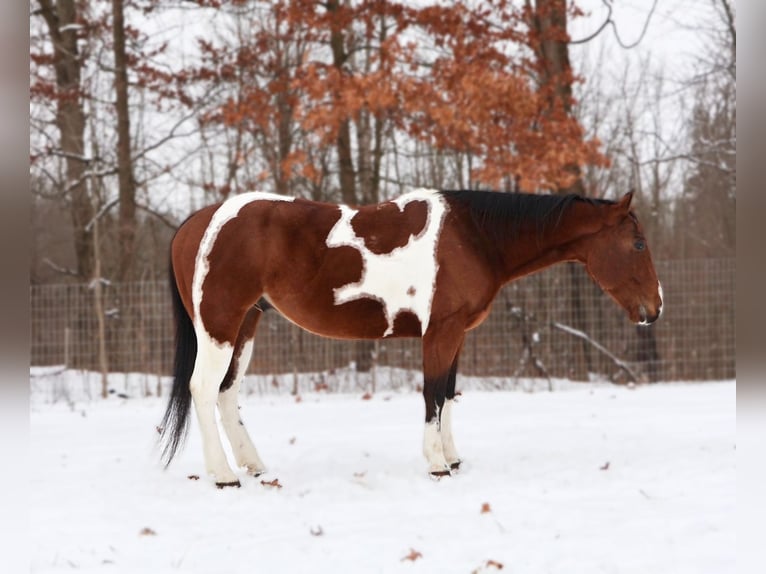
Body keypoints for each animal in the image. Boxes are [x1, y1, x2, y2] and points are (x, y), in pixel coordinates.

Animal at [159, 188, 663, 487]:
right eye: (638, 244)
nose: (655, 308)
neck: (473, 236)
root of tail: (194, 224)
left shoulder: (456, 334)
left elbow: (450, 393)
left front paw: (454, 458)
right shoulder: (440, 331)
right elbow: (432, 394)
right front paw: (437, 463)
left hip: (246, 325)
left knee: (227, 394)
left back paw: (254, 465)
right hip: (220, 327)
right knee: (203, 389)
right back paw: (223, 474)